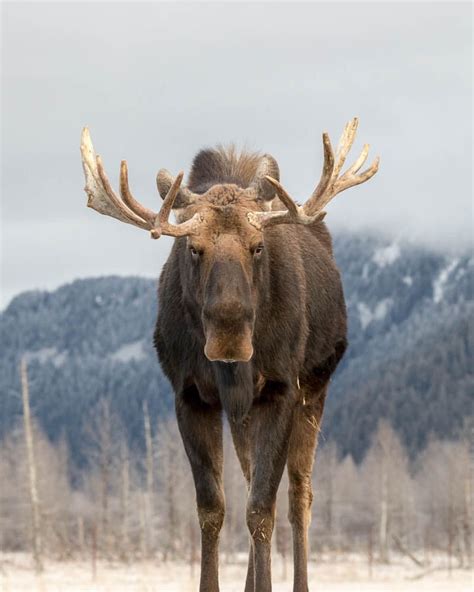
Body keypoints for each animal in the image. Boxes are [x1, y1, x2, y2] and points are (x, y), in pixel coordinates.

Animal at [80, 118, 378, 588]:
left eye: (258, 245)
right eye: (193, 248)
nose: (229, 338)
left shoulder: (281, 390)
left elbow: (260, 510)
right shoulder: (190, 395)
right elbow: (212, 509)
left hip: (314, 391)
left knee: (299, 495)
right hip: (242, 413)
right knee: (254, 475)